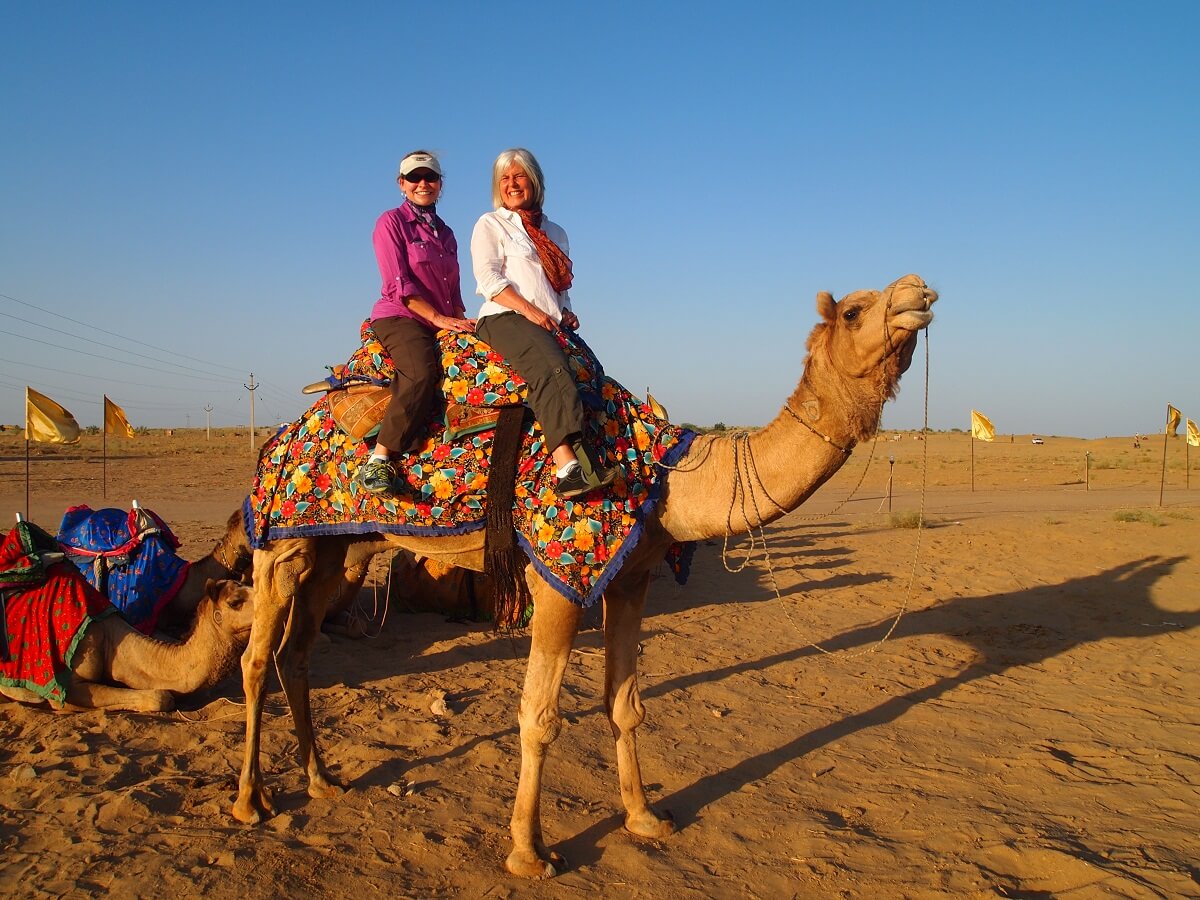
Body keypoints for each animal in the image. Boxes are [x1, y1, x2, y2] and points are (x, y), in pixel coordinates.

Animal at [234, 273, 937, 877]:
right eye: (854, 310)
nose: (919, 290)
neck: (662, 474)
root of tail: (292, 426)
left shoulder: (631, 579)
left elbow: (625, 705)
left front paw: (645, 818)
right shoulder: (560, 579)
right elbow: (539, 717)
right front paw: (529, 852)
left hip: (337, 547)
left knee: (297, 653)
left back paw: (323, 781)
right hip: (282, 537)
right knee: (257, 656)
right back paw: (251, 802)